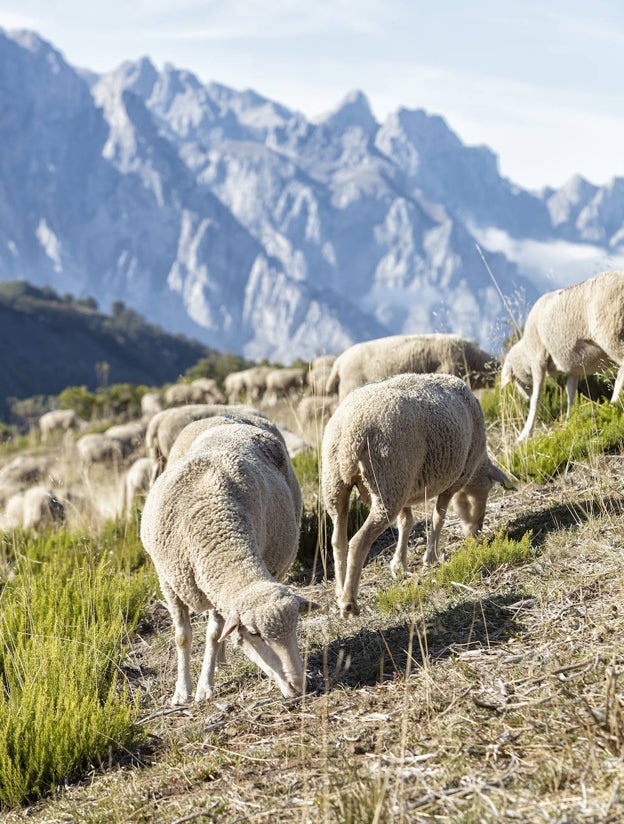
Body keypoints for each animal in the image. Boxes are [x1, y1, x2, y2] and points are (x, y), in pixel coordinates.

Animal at [140, 422, 316, 704]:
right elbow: (182, 637)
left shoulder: (217, 588)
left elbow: (213, 634)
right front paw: (182, 691)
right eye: (254, 634)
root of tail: (233, 422)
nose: (298, 685)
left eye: (296, 627)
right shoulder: (168, 582)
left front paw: (205, 687)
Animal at [322, 374, 512, 616]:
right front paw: (430, 559)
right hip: (388, 481)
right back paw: (349, 602)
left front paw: (399, 566)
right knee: (357, 542)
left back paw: (339, 592)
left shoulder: (407, 488)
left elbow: (407, 523)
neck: (476, 467)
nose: (476, 533)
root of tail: (349, 433)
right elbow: (438, 518)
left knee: (338, 540)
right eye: (487, 490)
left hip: (341, 483)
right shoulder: (452, 481)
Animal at [500, 270, 624, 440]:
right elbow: (570, 393)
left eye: (515, 379)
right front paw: (569, 421)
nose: (524, 398)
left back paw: (613, 404)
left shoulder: (538, 360)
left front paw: (524, 435)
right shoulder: (575, 368)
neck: (526, 351)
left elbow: (536, 399)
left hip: (610, 333)